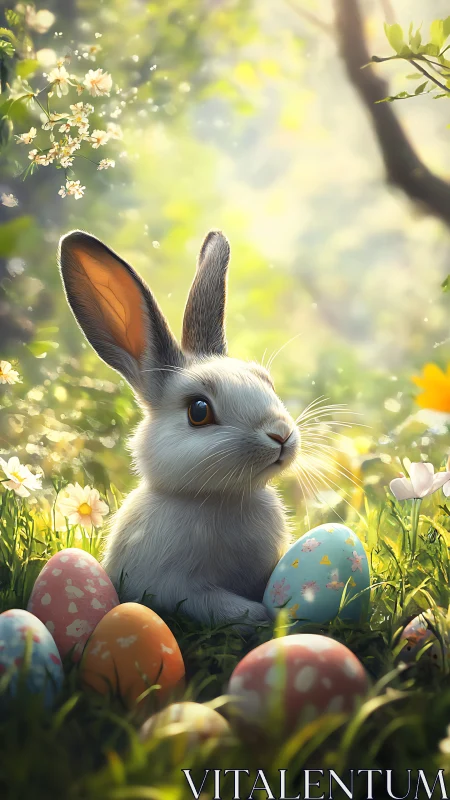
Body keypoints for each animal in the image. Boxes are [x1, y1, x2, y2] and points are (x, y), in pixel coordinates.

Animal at [58, 229, 301, 628]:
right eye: (199, 411)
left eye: (266, 381)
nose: (280, 434)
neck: (222, 498)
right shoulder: (174, 589)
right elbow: (215, 604)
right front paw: (259, 616)